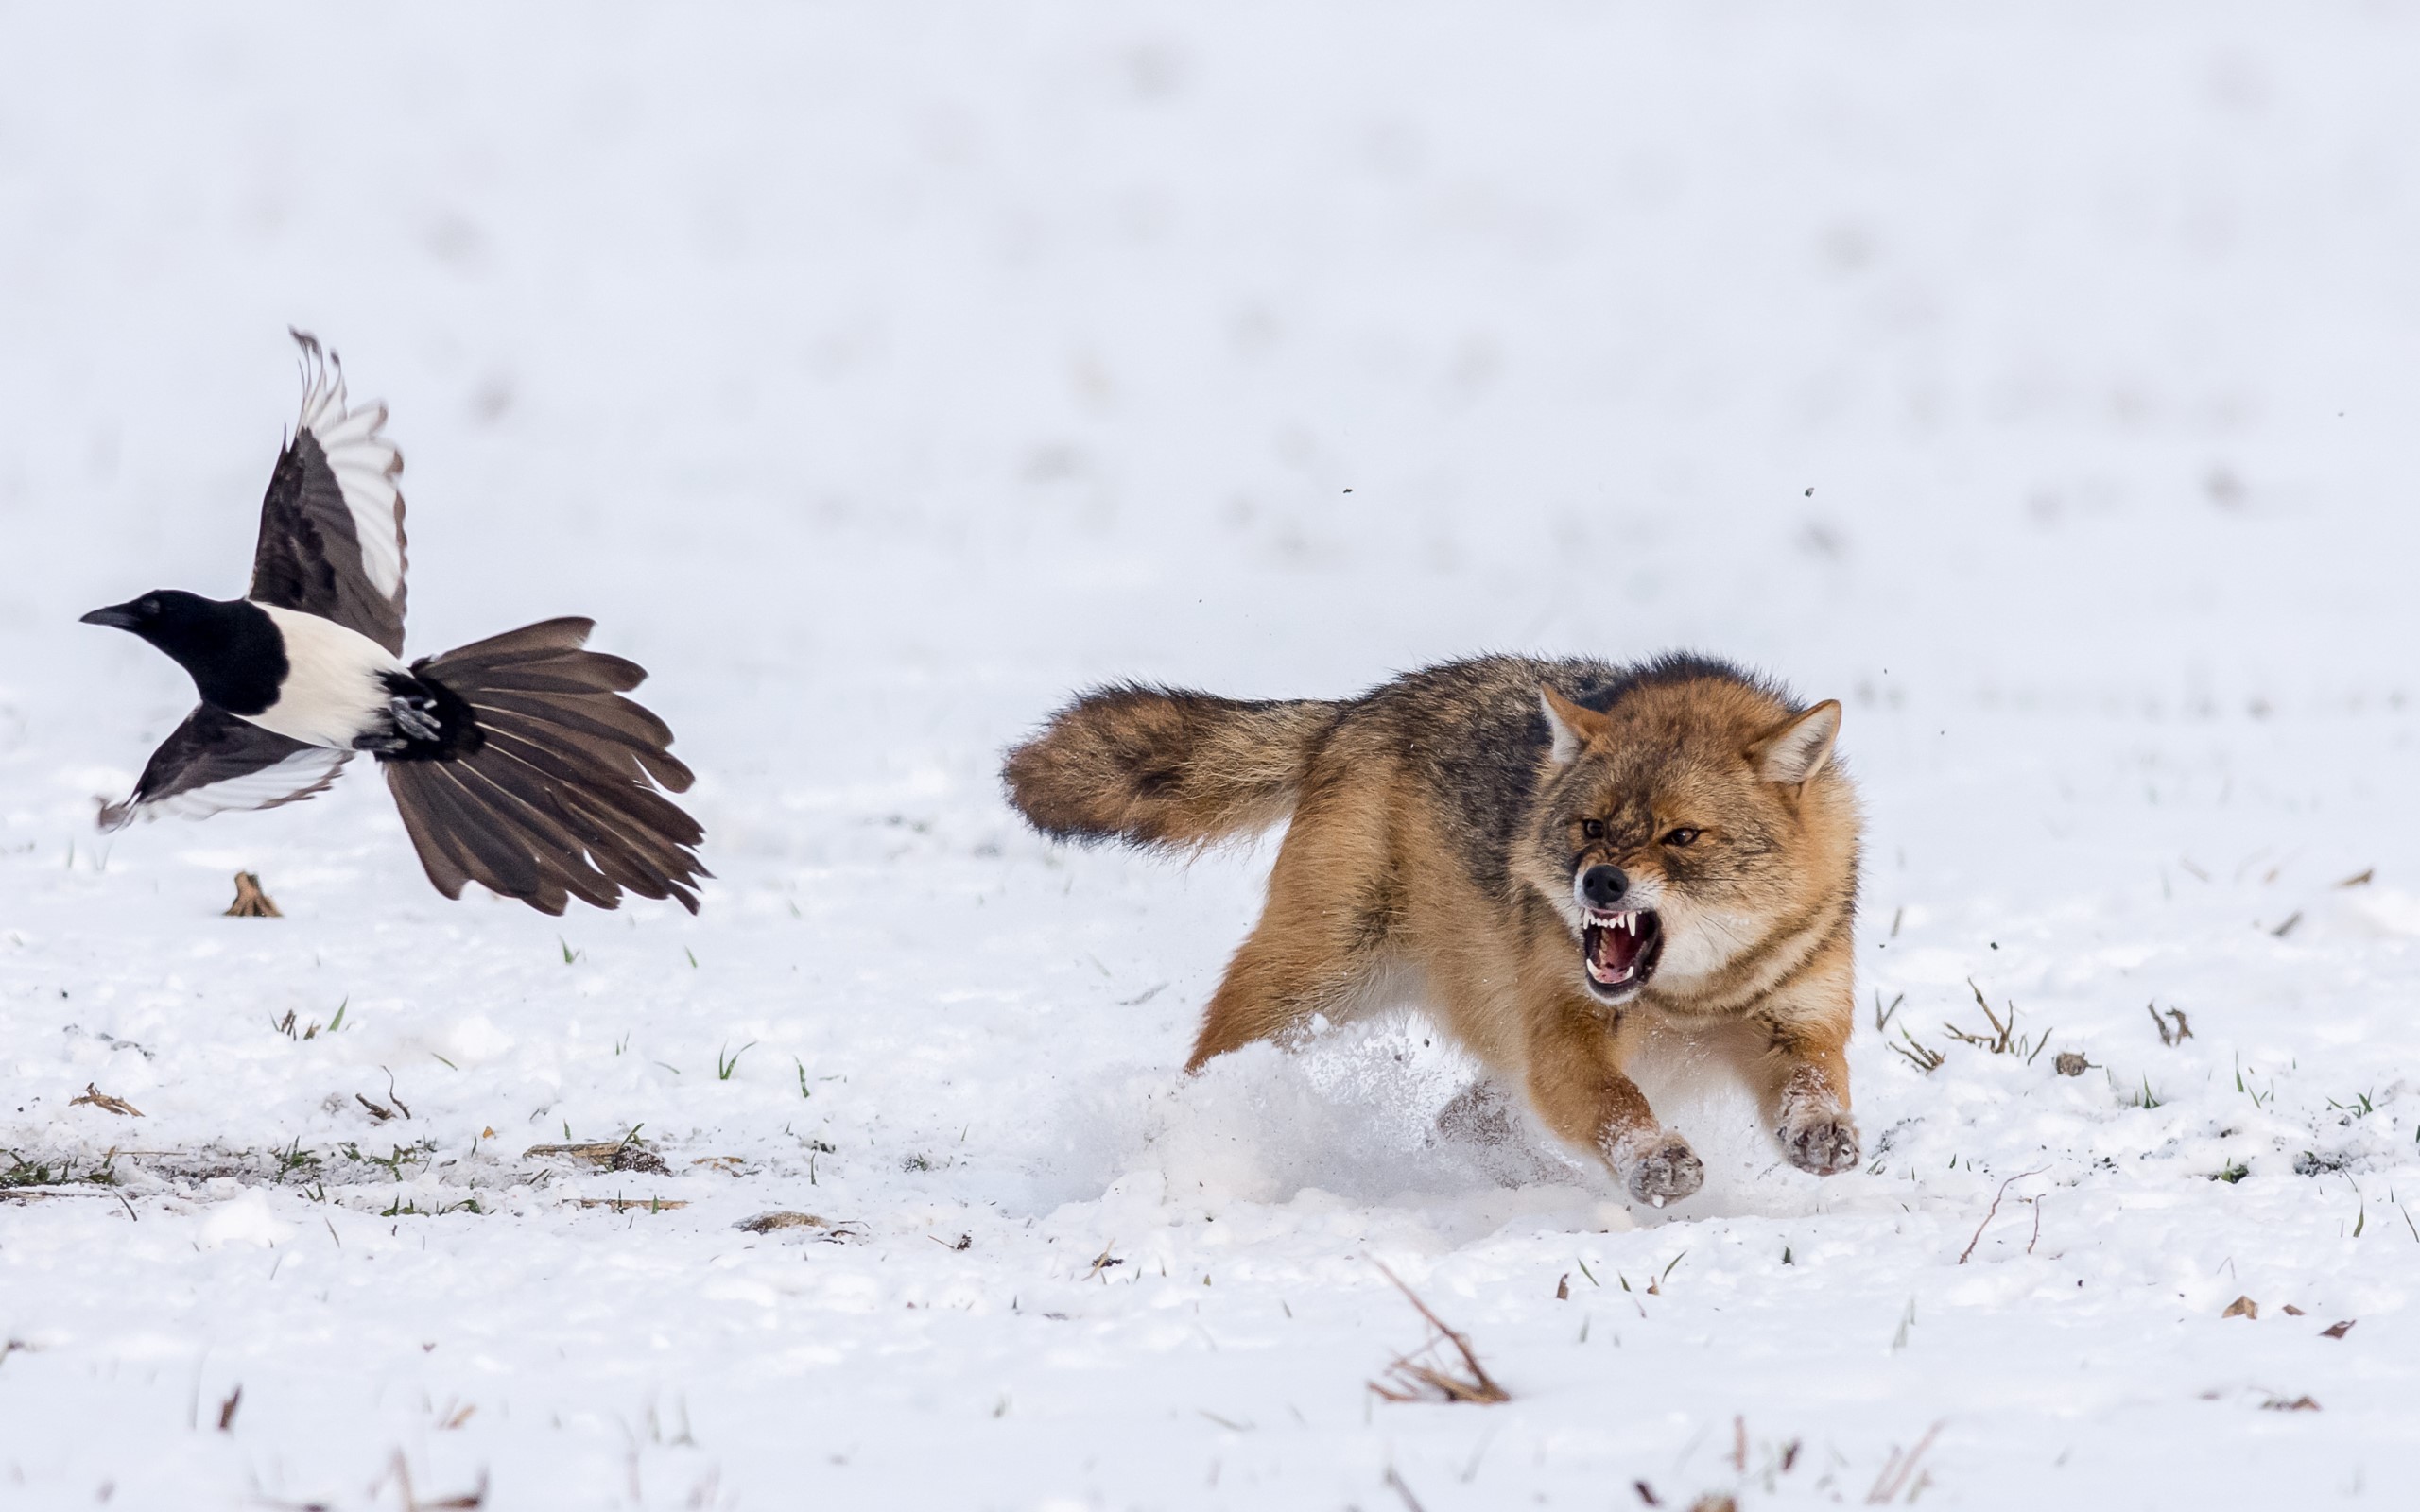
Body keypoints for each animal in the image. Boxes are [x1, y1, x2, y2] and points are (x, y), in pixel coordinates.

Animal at [1002, 653, 1861, 1205]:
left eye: (1682, 836)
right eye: (1590, 826)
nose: (1599, 883)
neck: (1690, 998)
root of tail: (1354, 710)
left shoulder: (1800, 1021)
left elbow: (1817, 1082)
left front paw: (1822, 1133)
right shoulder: (1566, 1039)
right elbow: (1618, 1105)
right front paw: (1656, 1159)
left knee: (1457, 1124)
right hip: (1313, 990)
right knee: (1205, 1073)